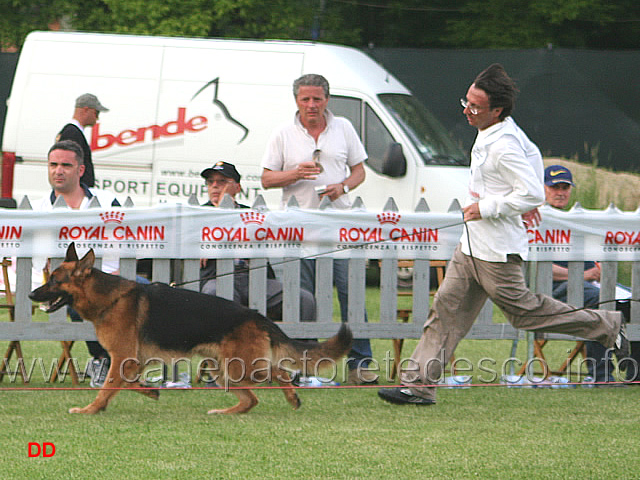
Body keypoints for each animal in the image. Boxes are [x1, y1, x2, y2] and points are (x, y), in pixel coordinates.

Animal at [30, 246, 352, 414]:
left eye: (55, 280)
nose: (32, 294)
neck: (109, 298)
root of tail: (258, 316)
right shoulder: (134, 360)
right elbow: (126, 382)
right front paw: (150, 391)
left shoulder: (123, 358)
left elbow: (107, 387)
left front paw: (90, 409)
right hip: (224, 370)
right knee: (252, 398)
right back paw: (226, 412)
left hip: (239, 367)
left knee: (278, 373)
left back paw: (292, 397)